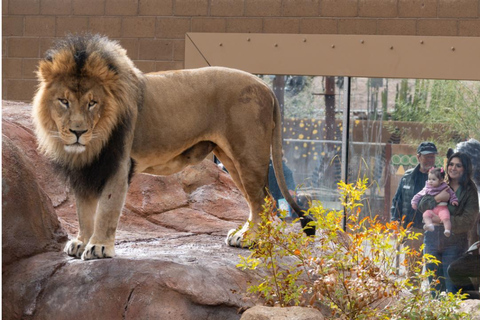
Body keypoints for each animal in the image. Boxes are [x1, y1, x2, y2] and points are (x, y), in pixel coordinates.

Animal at [31, 34, 314, 260]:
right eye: (64, 101)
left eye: (92, 103)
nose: (78, 132)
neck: (92, 143)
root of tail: (265, 85)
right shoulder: (85, 169)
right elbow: (83, 210)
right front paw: (81, 242)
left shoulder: (119, 162)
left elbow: (107, 209)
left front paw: (99, 247)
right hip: (231, 158)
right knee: (262, 200)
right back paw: (245, 235)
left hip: (248, 154)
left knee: (263, 201)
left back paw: (252, 238)